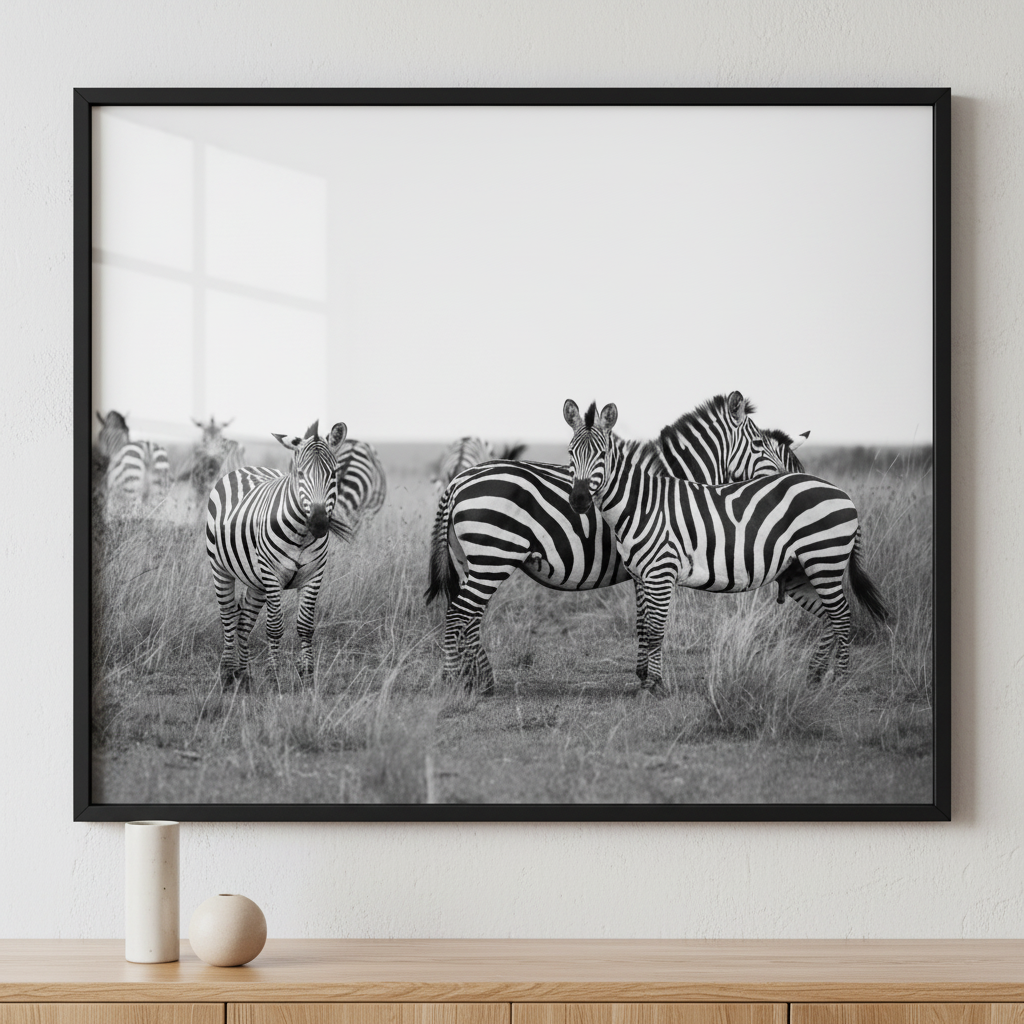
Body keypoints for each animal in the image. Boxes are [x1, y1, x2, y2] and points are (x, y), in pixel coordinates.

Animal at [206, 419, 347, 687]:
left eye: (333, 474)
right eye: (300, 474)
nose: (319, 524)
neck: (302, 535)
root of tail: (246, 468)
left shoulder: (314, 575)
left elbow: (305, 626)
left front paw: (307, 674)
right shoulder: (272, 575)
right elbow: (274, 626)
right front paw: (274, 675)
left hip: (256, 581)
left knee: (244, 621)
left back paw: (243, 673)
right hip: (221, 568)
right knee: (228, 615)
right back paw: (227, 672)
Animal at [426, 391, 807, 692]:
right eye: (759, 445)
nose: (788, 489)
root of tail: (458, 480)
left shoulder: (645, 565)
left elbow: (642, 620)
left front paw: (642, 674)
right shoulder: (654, 562)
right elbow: (649, 622)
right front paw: (649, 677)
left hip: (471, 560)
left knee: (466, 615)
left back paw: (480, 680)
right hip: (493, 556)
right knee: (461, 613)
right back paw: (454, 681)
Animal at [563, 399, 888, 693]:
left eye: (602, 454)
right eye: (570, 453)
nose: (578, 500)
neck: (642, 504)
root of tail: (841, 493)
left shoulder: (661, 573)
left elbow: (655, 630)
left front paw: (654, 684)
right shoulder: (641, 576)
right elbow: (643, 627)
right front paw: (645, 680)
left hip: (824, 561)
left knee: (842, 617)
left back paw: (840, 679)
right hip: (801, 571)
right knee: (829, 618)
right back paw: (815, 676)